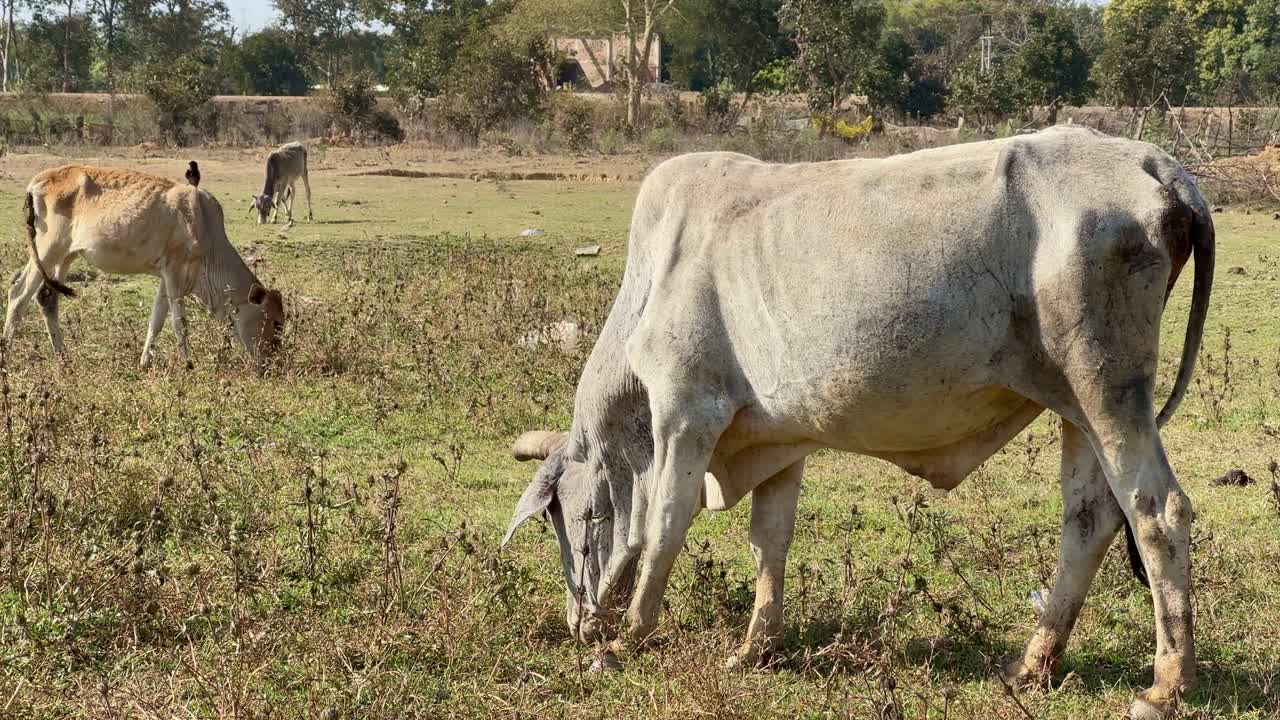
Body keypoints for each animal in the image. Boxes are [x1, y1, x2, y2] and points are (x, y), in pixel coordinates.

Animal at [4, 165, 286, 369]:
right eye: (276, 323)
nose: (273, 363)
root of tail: (38, 180)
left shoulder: (166, 276)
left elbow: (157, 319)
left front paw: (145, 362)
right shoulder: (174, 272)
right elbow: (179, 322)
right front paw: (188, 363)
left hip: (65, 257)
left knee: (47, 297)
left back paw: (64, 359)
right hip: (46, 250)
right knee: (18, 294)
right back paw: (6, 353)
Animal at [504, 126, 1214, 719]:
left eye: (572, 521)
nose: (580, 624)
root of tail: (1158, 165)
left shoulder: (684, 417)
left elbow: (662, 528)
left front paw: (626, 641)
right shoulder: (778, 440)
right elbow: (770, 540)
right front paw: (756, 648)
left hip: (1107, 390)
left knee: (1158, 511)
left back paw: (1165, 685)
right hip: (1076, 407)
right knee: (1089, 521)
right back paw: (1033, 665)